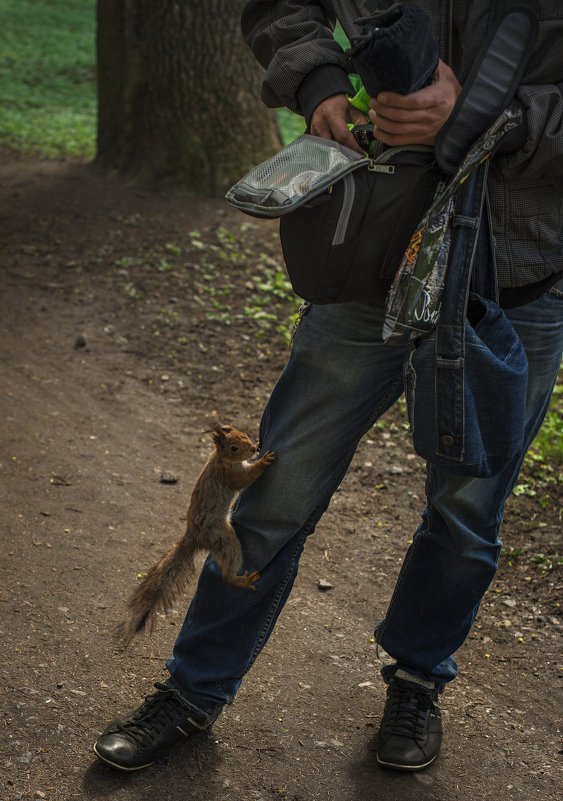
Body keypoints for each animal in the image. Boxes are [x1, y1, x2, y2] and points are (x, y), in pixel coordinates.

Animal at [118, 424, 276, 644]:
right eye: (233, 448)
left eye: (244, 435)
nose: (254, 449)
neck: (220, 459)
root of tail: (193, 536)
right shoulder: (229, 475)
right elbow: (245, 479)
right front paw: (263, 461)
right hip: (223, 540)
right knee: (227, 573)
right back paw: (241, 581)